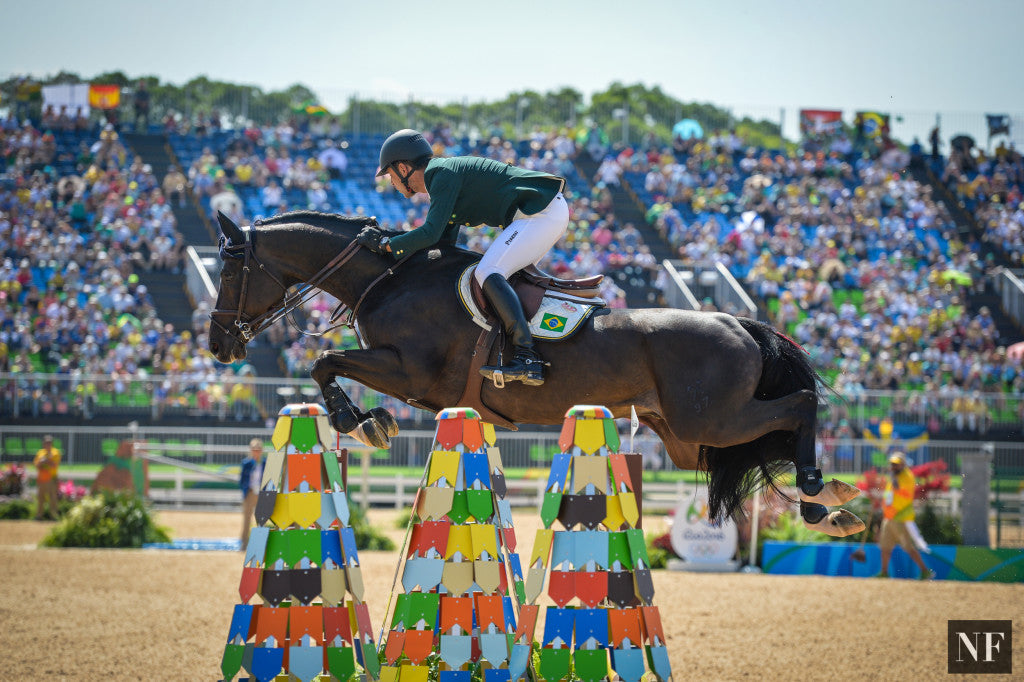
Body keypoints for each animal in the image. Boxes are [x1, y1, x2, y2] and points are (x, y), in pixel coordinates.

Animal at [207, 209, 864, 532]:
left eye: (231, 267)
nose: (218, 345)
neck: (388, 277)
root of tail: (739, 322)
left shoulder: (409, 373)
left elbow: (325, 360)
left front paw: (360, 421)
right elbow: (327, 363)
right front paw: (367, 420)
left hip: (713, 419)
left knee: (800, 407)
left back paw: (818, 491)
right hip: (689, 438)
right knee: (772, 433)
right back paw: (824, 504)